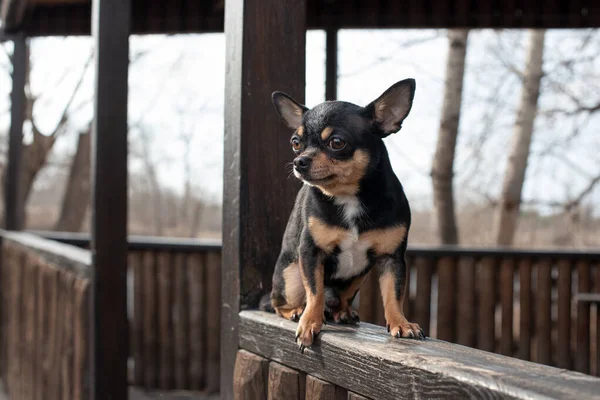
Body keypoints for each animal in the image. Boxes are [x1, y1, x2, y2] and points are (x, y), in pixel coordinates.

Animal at [264, 78, 426, 350]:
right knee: (280, 303)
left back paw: (342, 312)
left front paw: (401, 323)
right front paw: (309, 322)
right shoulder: (311, 252)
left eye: (336, 143)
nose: (299, 161)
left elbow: (394, 294)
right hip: (291, 275)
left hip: (357, 277)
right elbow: (315, 292)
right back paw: (295, 311)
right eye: (296, 143)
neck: (349, 196)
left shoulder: (391, 258)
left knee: (341, 299)